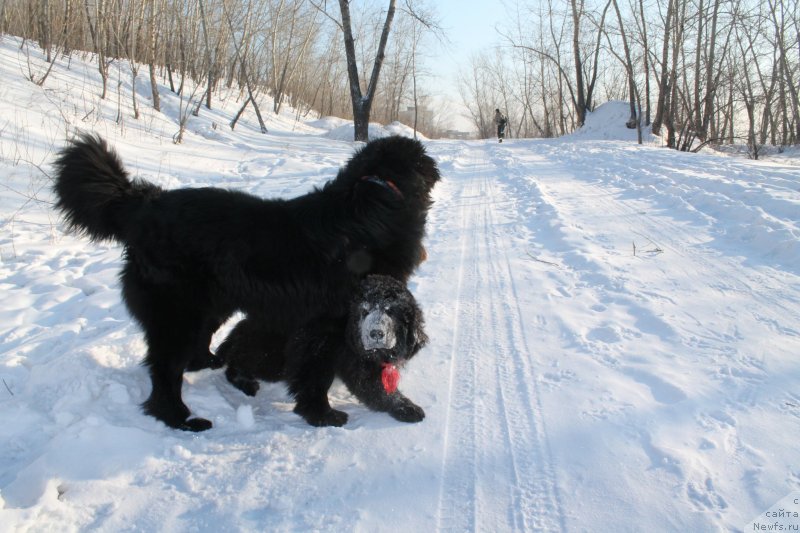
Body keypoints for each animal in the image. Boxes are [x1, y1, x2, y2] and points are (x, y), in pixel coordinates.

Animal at [222, 276, 428, 426]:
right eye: (364, 312)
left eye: (391, 311)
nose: (375, 333)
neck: (347, 328)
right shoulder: (322, 348)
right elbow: (371, 386)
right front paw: (323, 416)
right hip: (270, 358)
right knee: (236, 361)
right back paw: (243, 380)